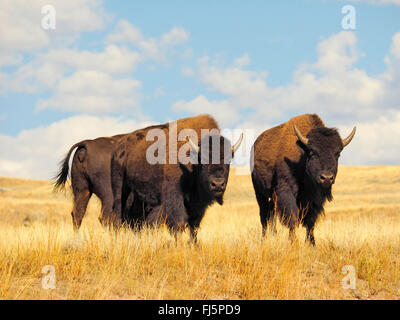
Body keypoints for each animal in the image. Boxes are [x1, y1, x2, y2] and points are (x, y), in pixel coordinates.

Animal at [108, 114, 241, 241]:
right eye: (202, 159)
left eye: (229, 159)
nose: (217, 184)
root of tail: (119, 147)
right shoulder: (175, 197)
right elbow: (179, 223)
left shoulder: (198, 205)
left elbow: (194, 226)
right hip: (120, 190)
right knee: (118, 215)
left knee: (135, 220)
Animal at [250, 113, 356, 245]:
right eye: (312, 152)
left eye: (338, 153)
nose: (326, 178)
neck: (302, 155)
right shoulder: (287, 192)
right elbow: (292, 217)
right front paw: (293, 242)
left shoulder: (315, 199)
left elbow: (310, 222)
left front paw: (312, 244)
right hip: (259, 192)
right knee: (264, 216)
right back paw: (264, 240)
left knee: (271, 215)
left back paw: (274, 237)